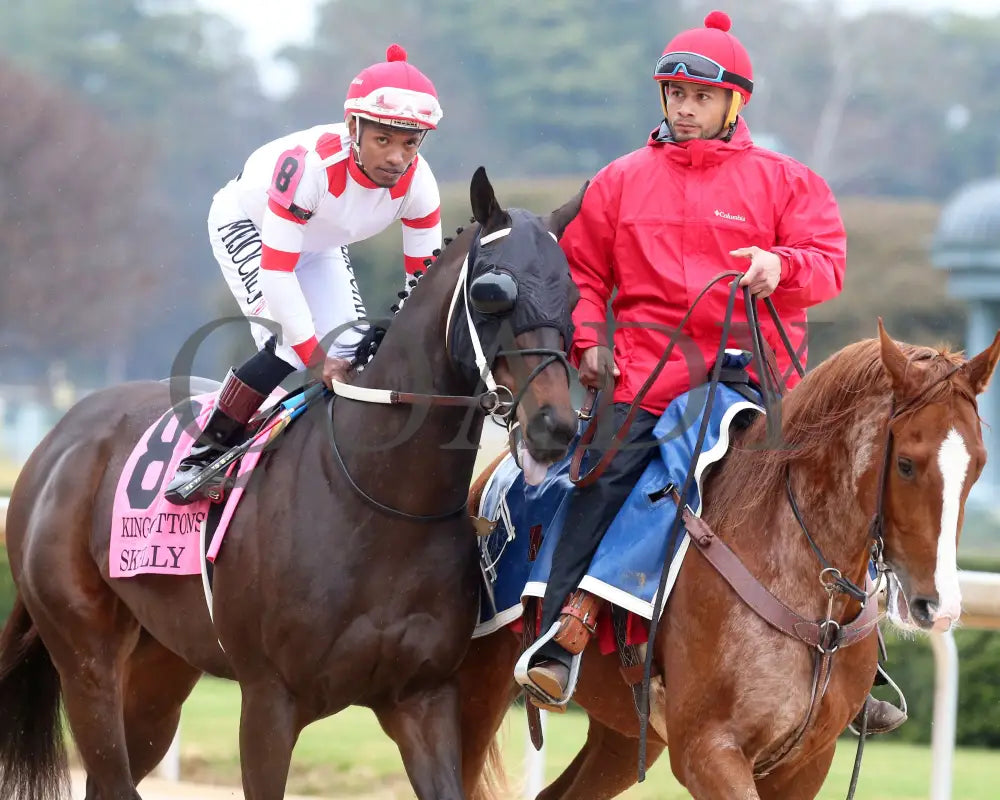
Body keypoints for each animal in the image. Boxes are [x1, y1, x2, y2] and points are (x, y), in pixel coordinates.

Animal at [0, 169, 584, 800]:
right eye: (490, 292)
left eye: (575, 295)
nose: (555, 425)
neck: (381, 505)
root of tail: (61, 436)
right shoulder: (268, 701)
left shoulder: (422, 699)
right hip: (84, 653)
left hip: (162, 666)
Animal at [460, 322, 1000, 796]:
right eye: (906, 464)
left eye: (978, 464)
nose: (939, 606)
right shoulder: (709, 751)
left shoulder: (805, 764)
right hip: (473, 688)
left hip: (625, 735)